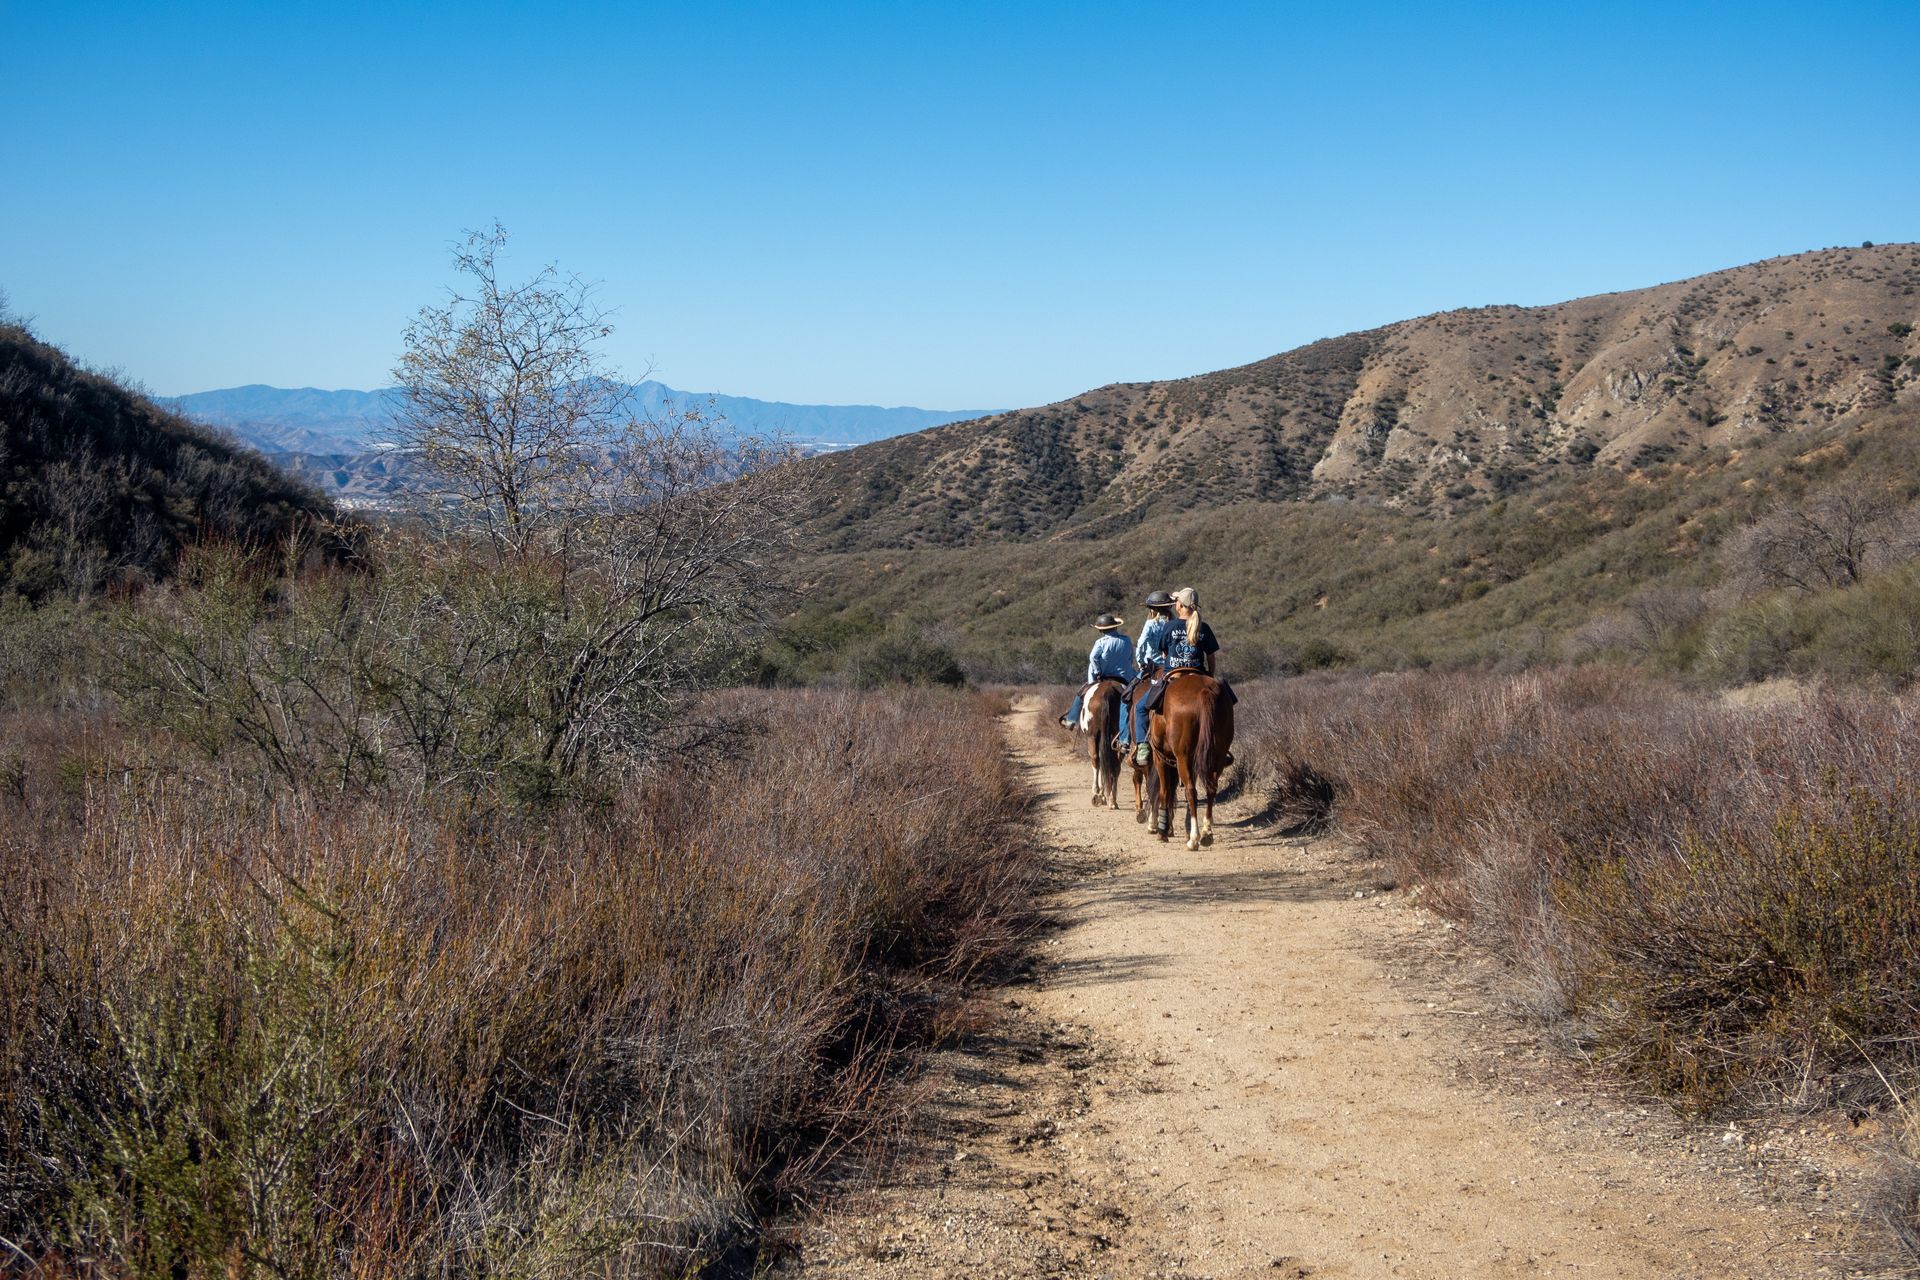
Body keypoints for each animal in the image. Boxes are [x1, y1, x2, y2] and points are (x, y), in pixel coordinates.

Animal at [1082, 675, 1121, 805]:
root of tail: (1108, 692)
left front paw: (1100, 793)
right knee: (1114, 764)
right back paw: (1112, 800)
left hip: (1092, 735)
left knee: (1096, 758)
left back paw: (1098, 793)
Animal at [1144, 671, 1236, 852]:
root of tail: (1204, 691)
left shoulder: (1161, 759)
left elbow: (1165, 791)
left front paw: (1163, 831)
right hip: (1217, 755)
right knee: (1211, 789)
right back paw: (1207, 833)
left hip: (1183, 758)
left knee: (1191, 791)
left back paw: (1194, 838)